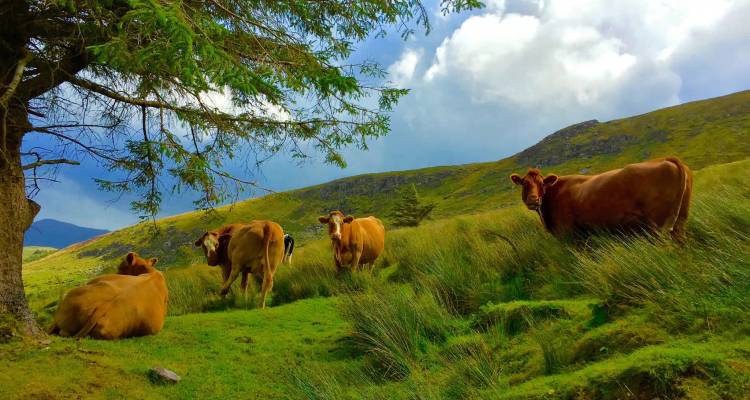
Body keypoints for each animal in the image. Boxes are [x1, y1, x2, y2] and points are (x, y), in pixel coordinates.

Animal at [510, 157, 692, 240]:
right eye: (524, 183)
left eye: (542, 184)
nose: (533, 200)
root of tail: (666, 159)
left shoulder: (568, 233)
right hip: (680, 220)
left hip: (658, 225)